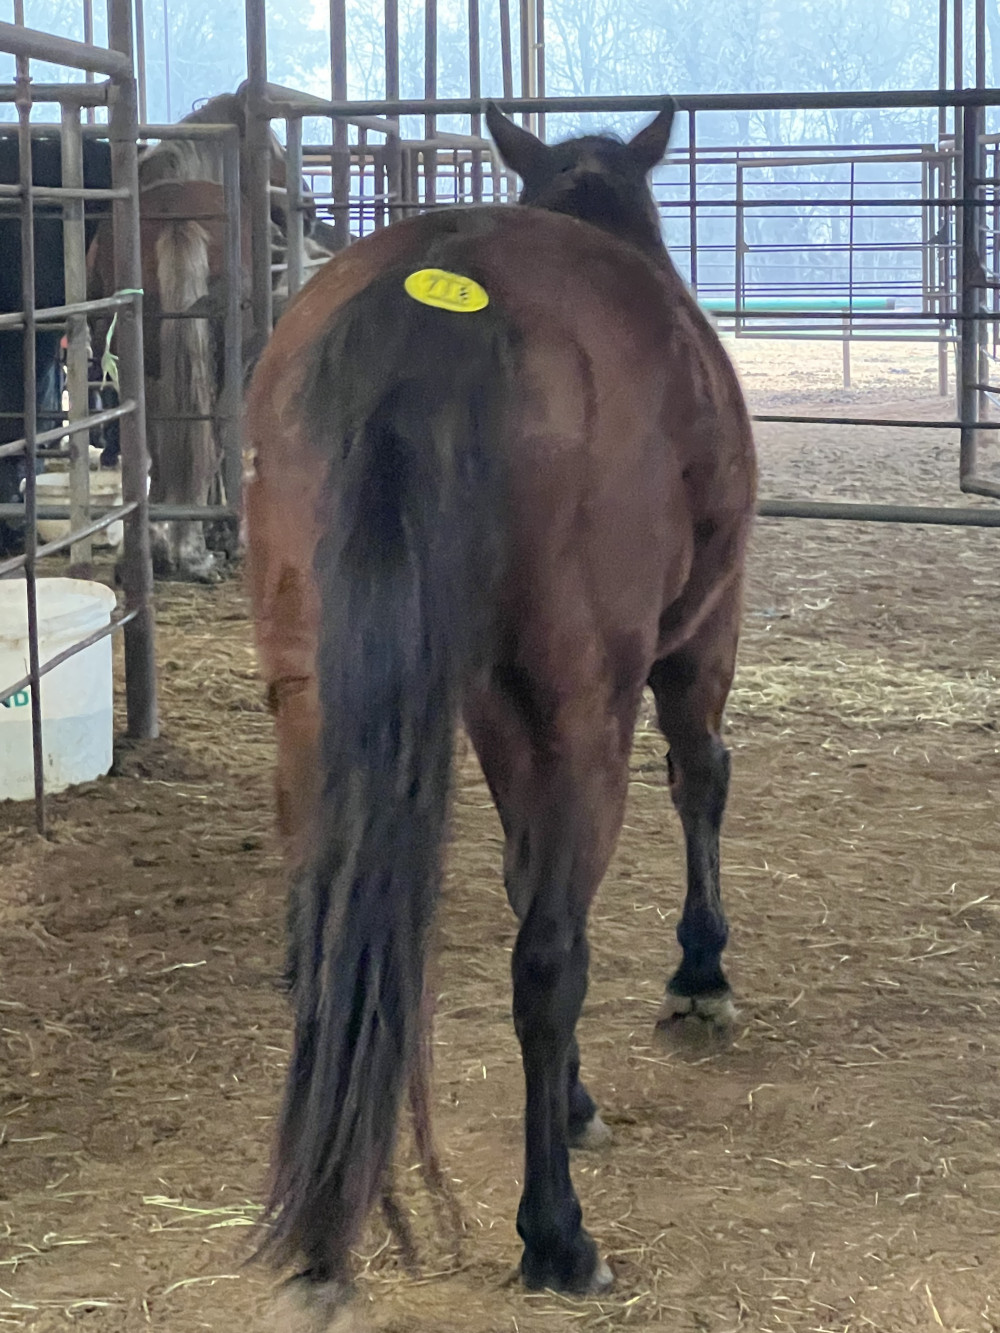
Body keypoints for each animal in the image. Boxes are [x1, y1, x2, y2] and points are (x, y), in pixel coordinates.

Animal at [243, 102, 756, 1310]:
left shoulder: (489, 706)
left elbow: (528, 873)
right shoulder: (698, 638)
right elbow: (699, 778)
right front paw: (699, 974)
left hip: (312, 707)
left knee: (325, 936)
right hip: (586, 712)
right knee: (550, 958)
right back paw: (557, 1235)